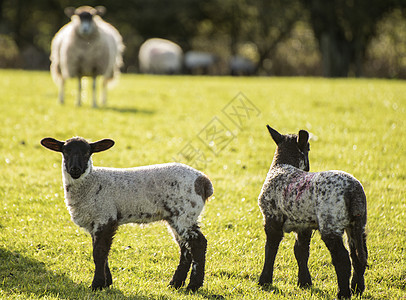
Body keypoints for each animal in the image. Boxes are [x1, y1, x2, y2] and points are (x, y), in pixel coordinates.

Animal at [39, 136, 214, 290]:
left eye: (87, 152)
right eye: (65, 151)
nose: (75, 169)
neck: (91, 183)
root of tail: (204, 182)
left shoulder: (105, 217)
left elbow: (99, 253)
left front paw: (97, 285)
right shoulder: (95, 222)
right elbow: (102, 252)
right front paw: (106, 283)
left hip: (185, 213)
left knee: (199, 244)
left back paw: (193, 286)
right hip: (175, 217)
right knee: (185, 248)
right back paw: (175, 284)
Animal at [260, 125, 368, 298]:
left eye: (308, 148)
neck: (281, 165)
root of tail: (353, 191)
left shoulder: (271, 218)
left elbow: (270, 249)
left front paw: (264, 281)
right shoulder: (304, 225)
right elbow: (301, 251)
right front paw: (304, 282)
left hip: (330, 222)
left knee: (342, 258)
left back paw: (343, 293)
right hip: (357, 224)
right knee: (358, 255)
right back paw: (357, 288)